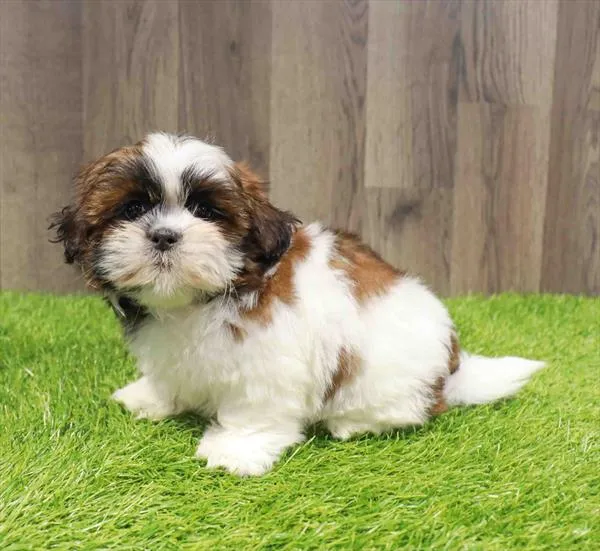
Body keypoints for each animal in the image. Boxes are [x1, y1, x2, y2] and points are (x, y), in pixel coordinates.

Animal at [51, 132, 544, 476]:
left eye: (206, 211)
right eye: (132, 209)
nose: (164, 235)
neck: (203, 298)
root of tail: (451, 370)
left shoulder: (267, 363)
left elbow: (252, 409)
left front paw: (235, 449)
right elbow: (170, 376)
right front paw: (150, 398)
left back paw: (353, 424)